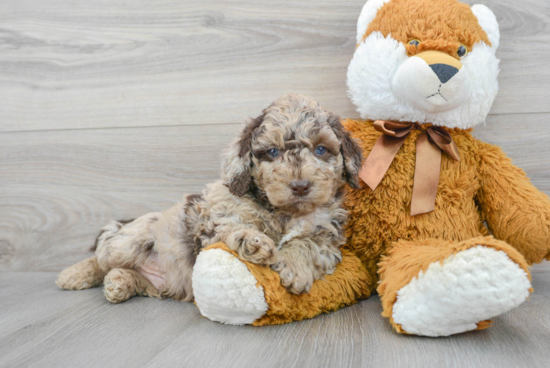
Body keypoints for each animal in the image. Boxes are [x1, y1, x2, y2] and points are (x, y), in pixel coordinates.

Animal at [58, 93, 364, 304]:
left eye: (321, 150)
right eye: (273, 152)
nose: (300, 186)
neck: (284, 213)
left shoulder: (327, 235)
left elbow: (308, 244)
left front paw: (293, 267)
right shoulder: (214, 217)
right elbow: (233, 226)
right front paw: (254, 242)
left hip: (160, 284)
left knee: (126, 274)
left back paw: (120, 282)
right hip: (130, 240)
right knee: (102, 257)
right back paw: (73, 275)